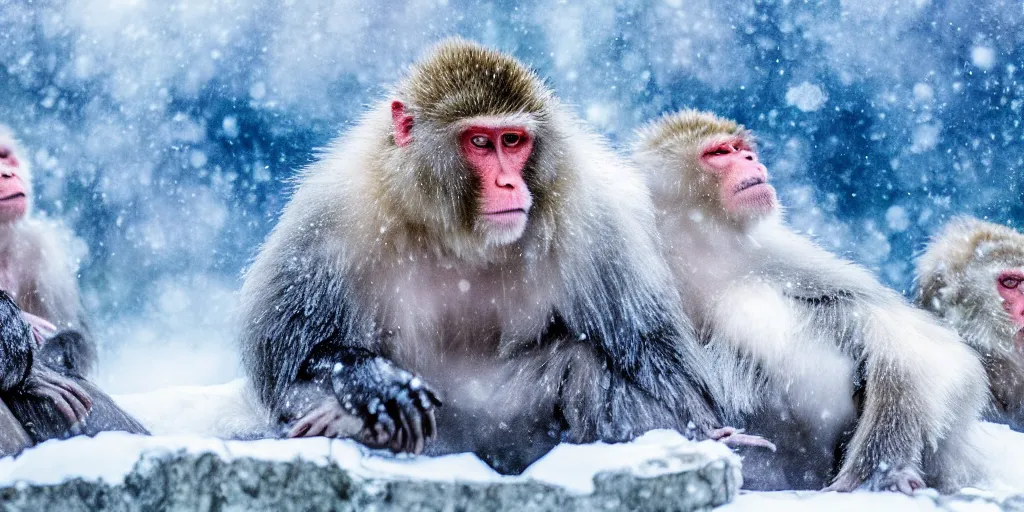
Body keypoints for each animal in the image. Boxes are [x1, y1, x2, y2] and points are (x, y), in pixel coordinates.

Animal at [243, 38, 765, 471]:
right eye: (479, 141)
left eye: (512, 141)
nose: (509, 183)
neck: (458, 232)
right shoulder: (330, 216)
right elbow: (282, 356)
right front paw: (371, 381)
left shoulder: (596, 225)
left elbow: (670, 372)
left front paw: (711, 430)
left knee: (581, 365)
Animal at [634, 110, 987, 493]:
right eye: (719, 153)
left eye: (741, 149)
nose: (750, 159)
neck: (697, 239)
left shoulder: (774, 253)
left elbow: (918, 343)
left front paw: (881, 470)